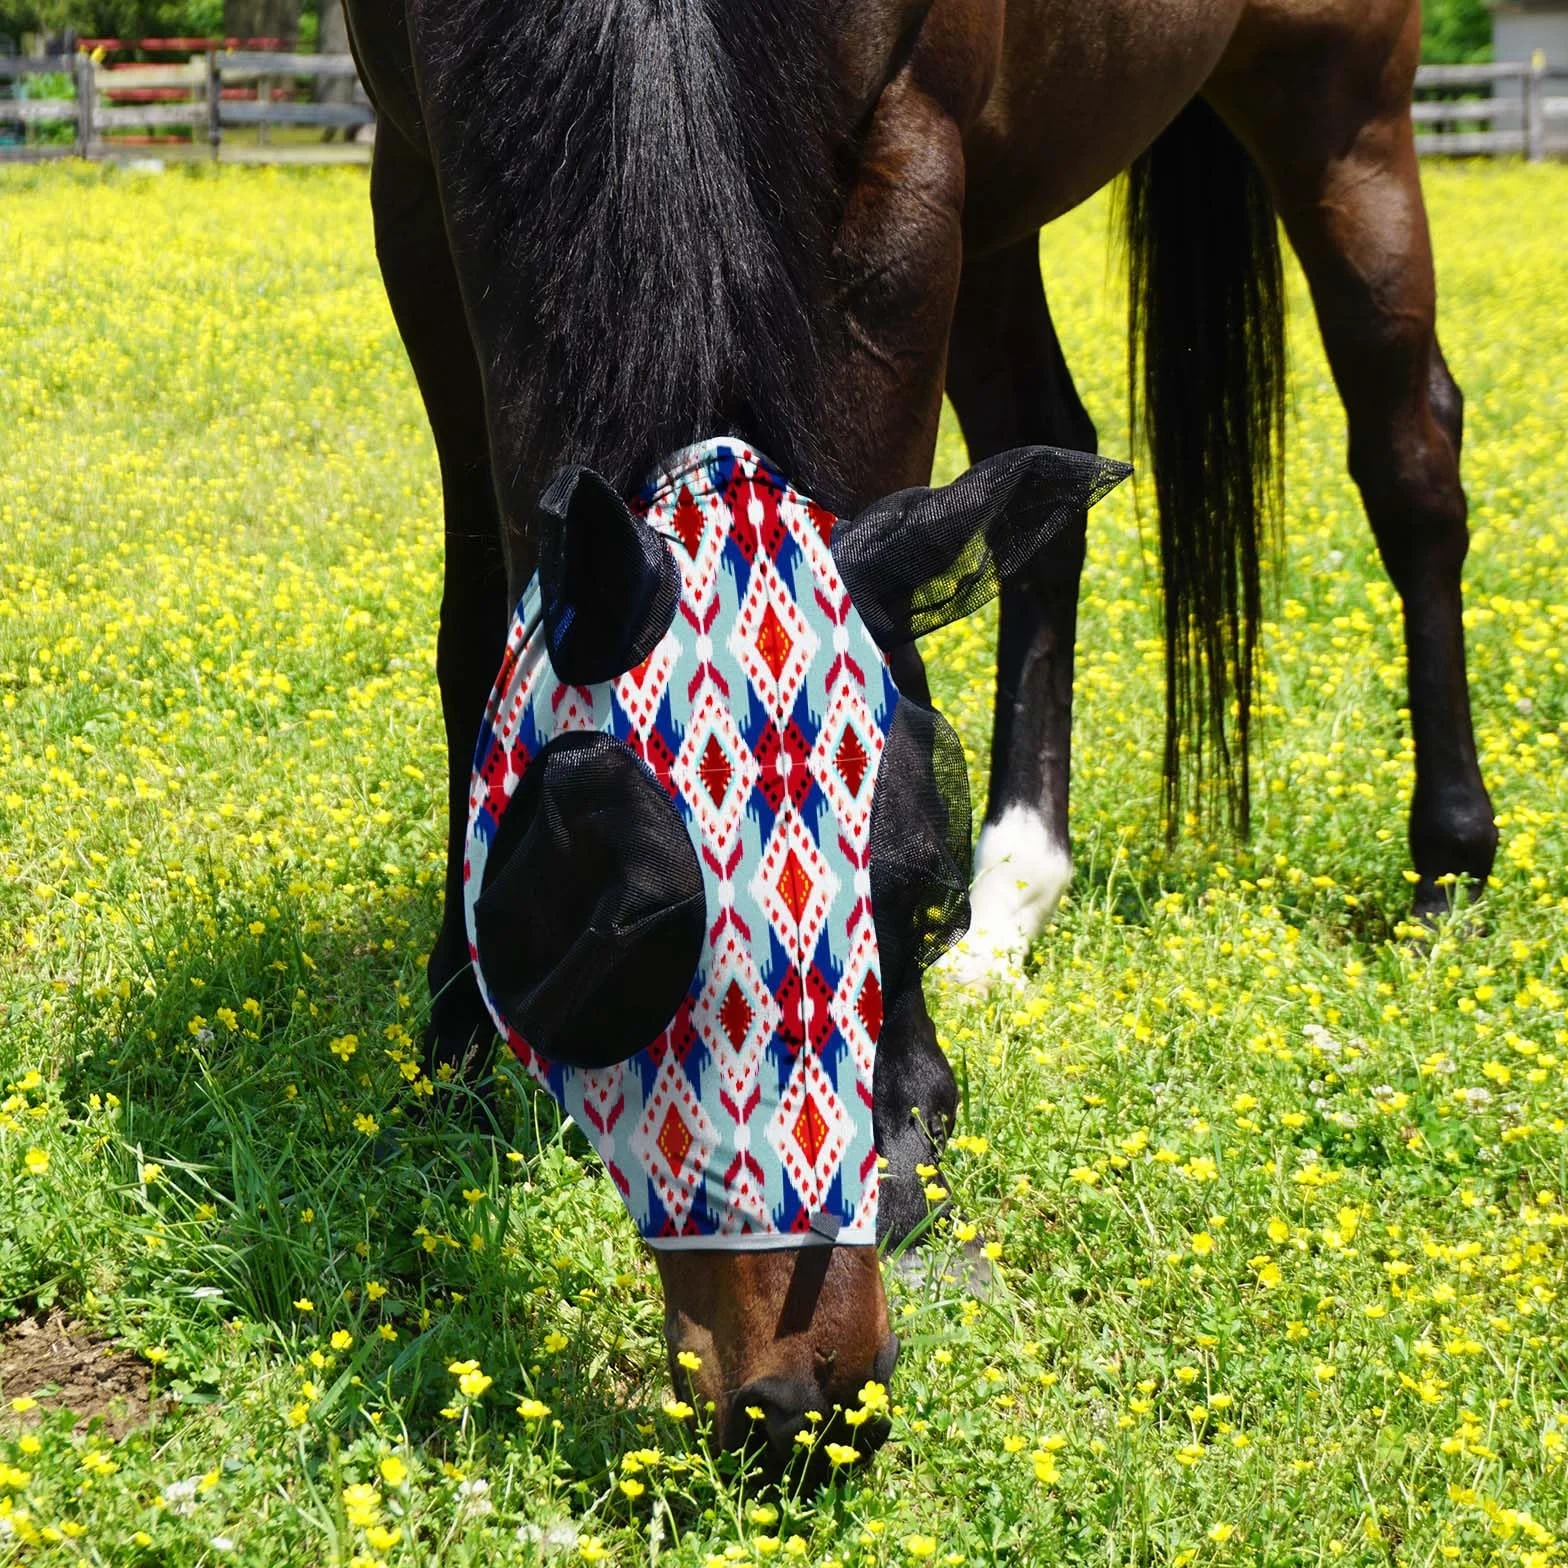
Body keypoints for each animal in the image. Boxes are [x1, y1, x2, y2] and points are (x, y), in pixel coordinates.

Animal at [341, 0, 1497, 1462]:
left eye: (899, 889)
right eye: (621, 933)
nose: (809, 1398)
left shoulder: (903, 181)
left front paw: (910, 1109)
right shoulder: (414, 187)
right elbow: (474, 619)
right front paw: (451, 1031)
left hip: (1338, 103)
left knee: (1408, 454)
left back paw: (1447, 864)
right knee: (1043, 465)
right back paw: (1019, 899)